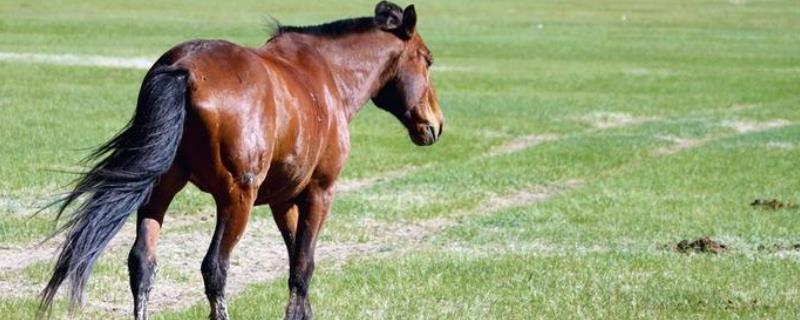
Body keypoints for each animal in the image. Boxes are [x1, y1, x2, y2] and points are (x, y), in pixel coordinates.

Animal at [37, 1, 444, 318]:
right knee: (215, 268)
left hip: (160, 190)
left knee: (142, 264)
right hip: (237, 199)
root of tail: (185, 68)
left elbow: (295, 262)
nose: (436, 124)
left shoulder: (284, 200)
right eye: (427, 60)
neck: (326, 77)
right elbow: (303, 266)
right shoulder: (319, 192)